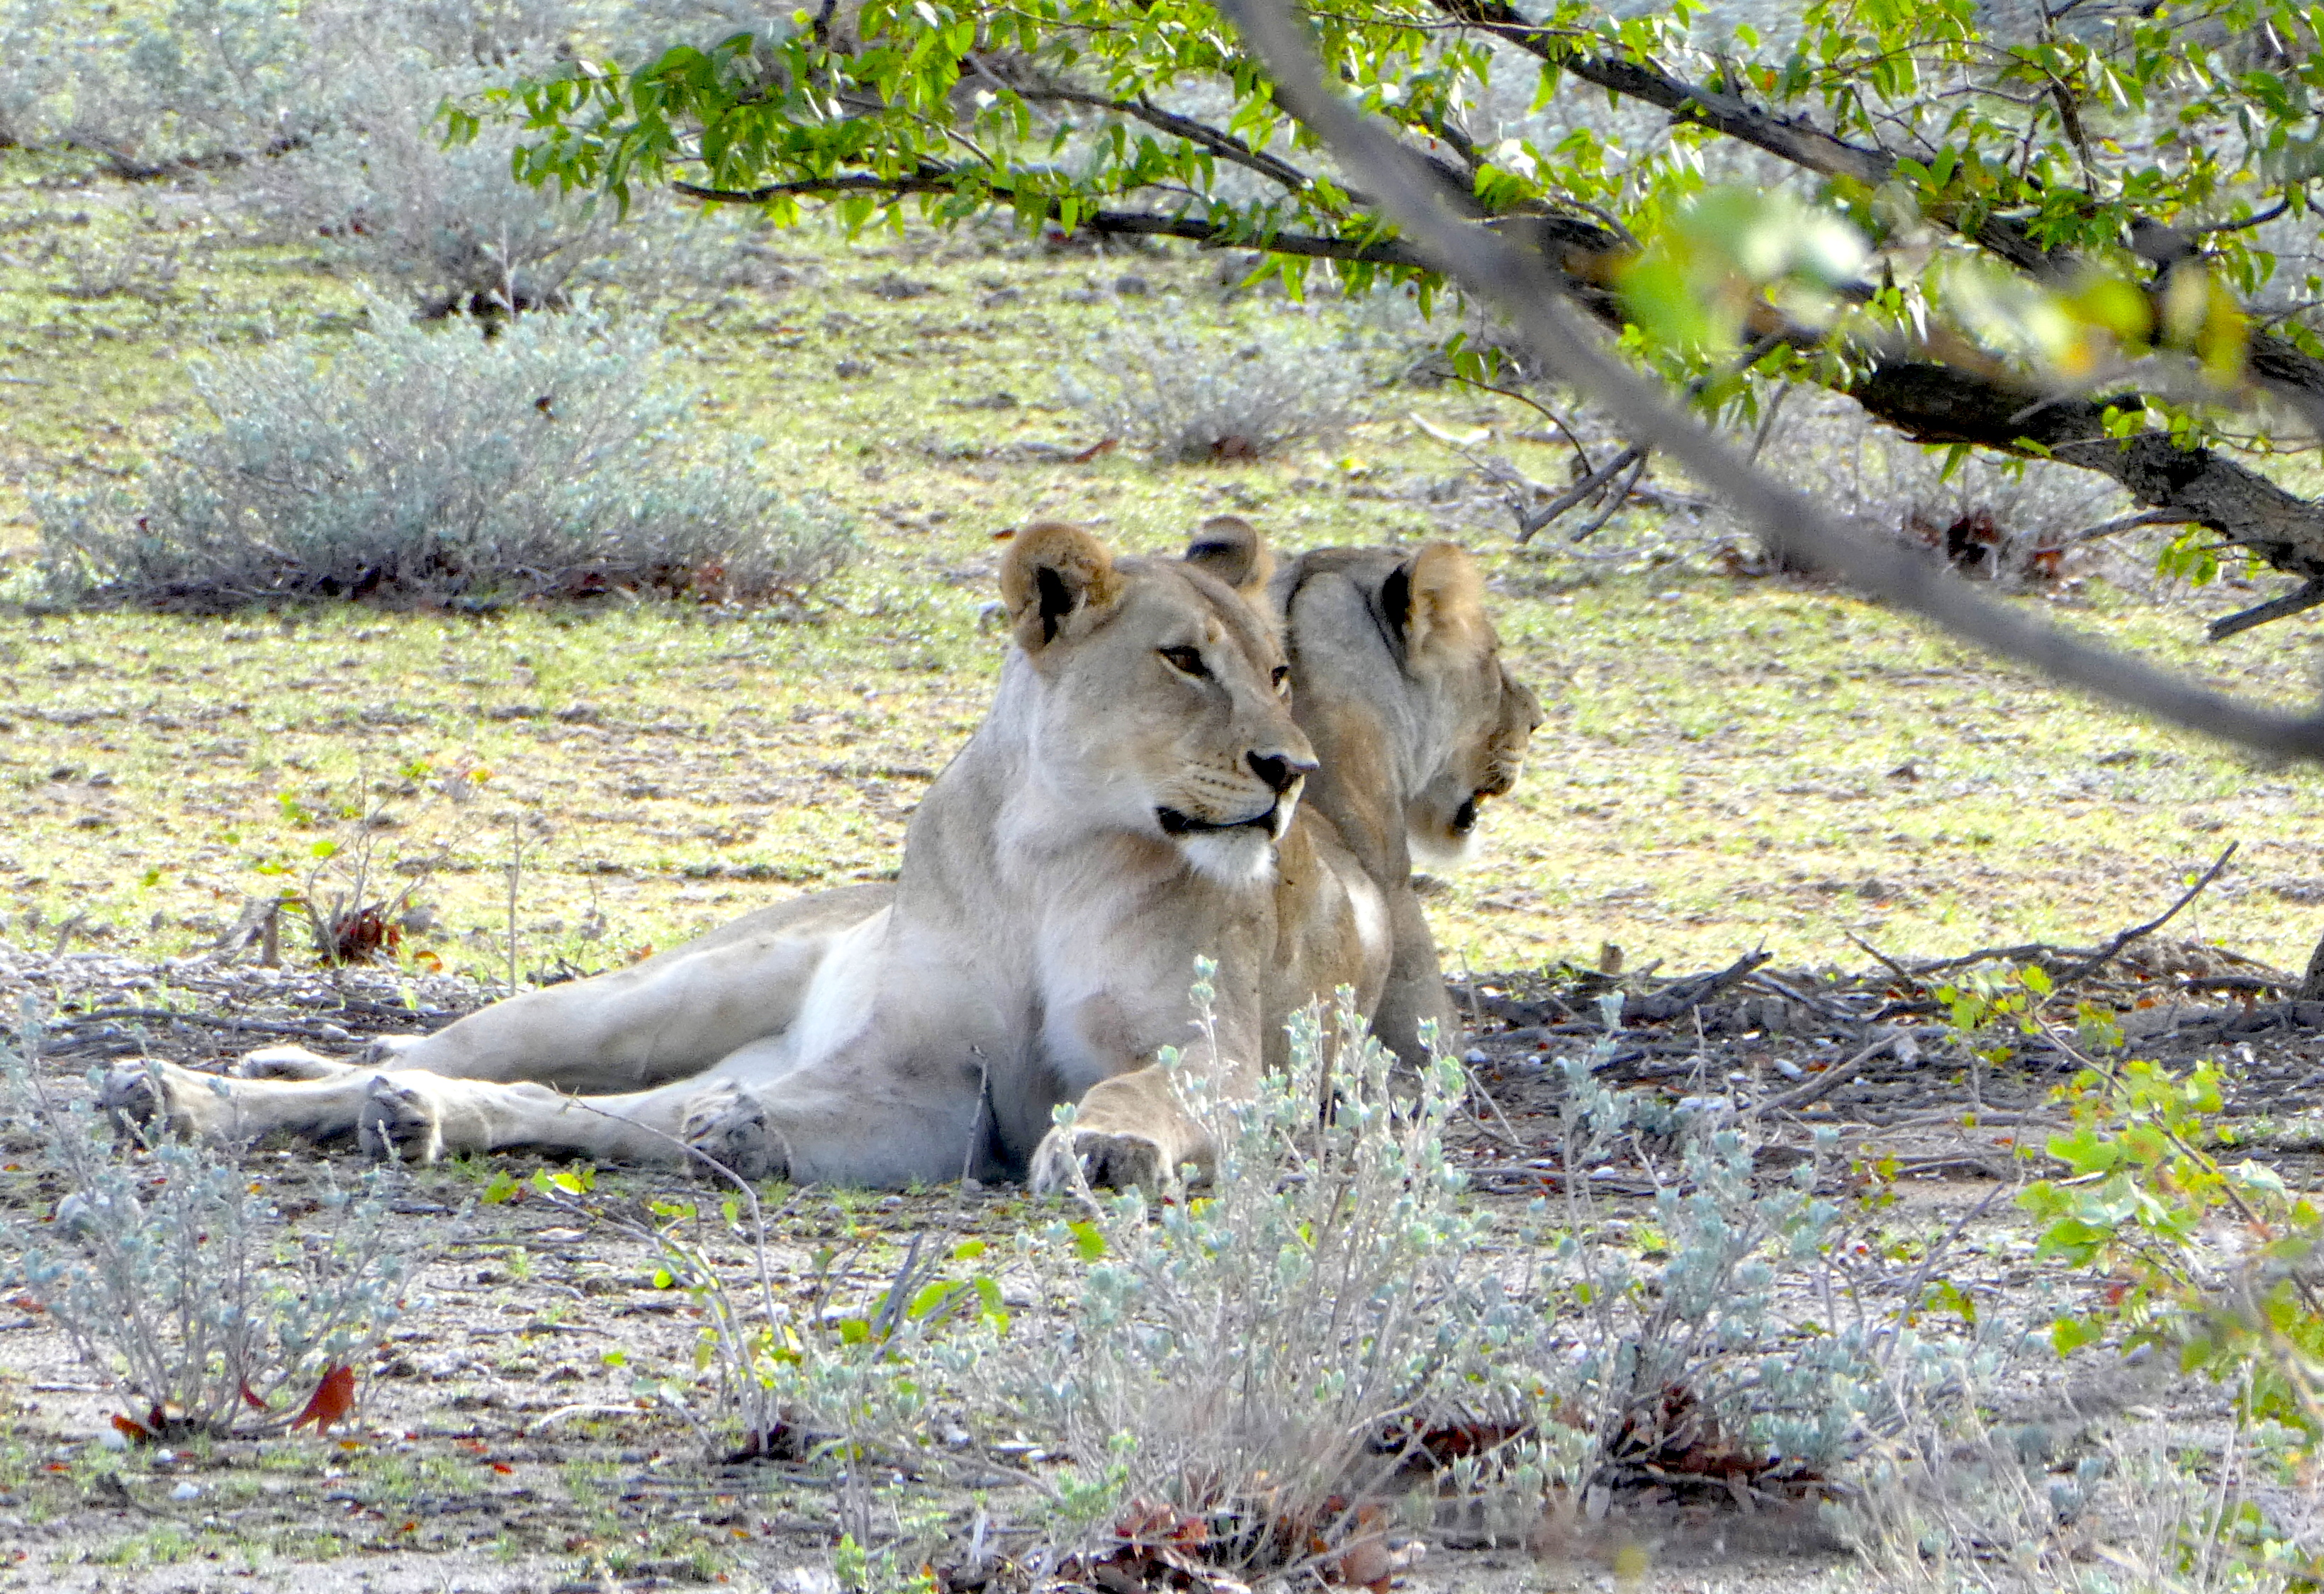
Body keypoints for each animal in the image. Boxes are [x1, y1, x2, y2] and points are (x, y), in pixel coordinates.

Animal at [104, 518, 1525, 1189]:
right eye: (1182, 660)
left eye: (1278, 673)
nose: (1286, 773)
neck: (1053, 850)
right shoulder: (917, 1079)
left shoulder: (1192, 1066)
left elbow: (1129, 1094)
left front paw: (1103, 1149)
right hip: (655, 991)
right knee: (458, 1053)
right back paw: (203, 1088)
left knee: (580, 1111)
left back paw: (407, 1115)